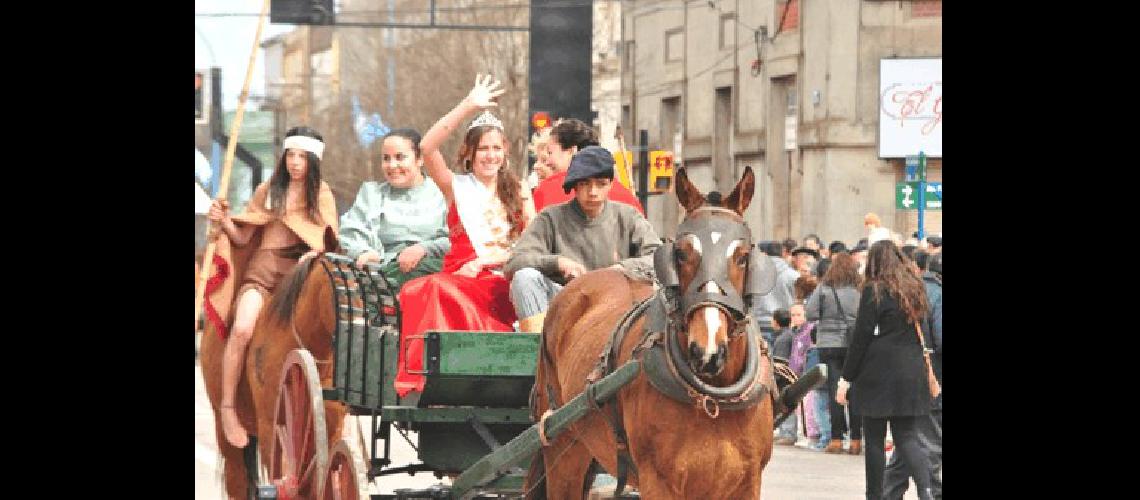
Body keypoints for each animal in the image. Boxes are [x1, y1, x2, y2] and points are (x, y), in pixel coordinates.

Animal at [524, 166, 775, 498]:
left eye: (743, 256)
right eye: (680, 253)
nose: (706, 351)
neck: (713, 399)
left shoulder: (747, 483)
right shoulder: (658, 481)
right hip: (563, 447)